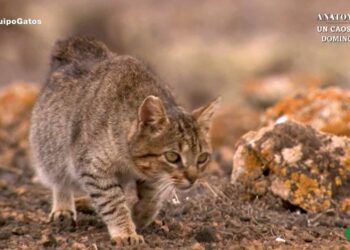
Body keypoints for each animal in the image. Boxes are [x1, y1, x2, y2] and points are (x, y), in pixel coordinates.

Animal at [28, 36, 220, 246]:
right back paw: (63, 207)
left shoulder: (151, 178)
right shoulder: (94, 169)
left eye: (202, 158)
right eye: (172, 156)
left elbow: (152, 195)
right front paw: (125, 231)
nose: (193, 178)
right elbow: (113, 202)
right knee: (59, 179)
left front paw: (140, 215)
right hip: (50, 149)